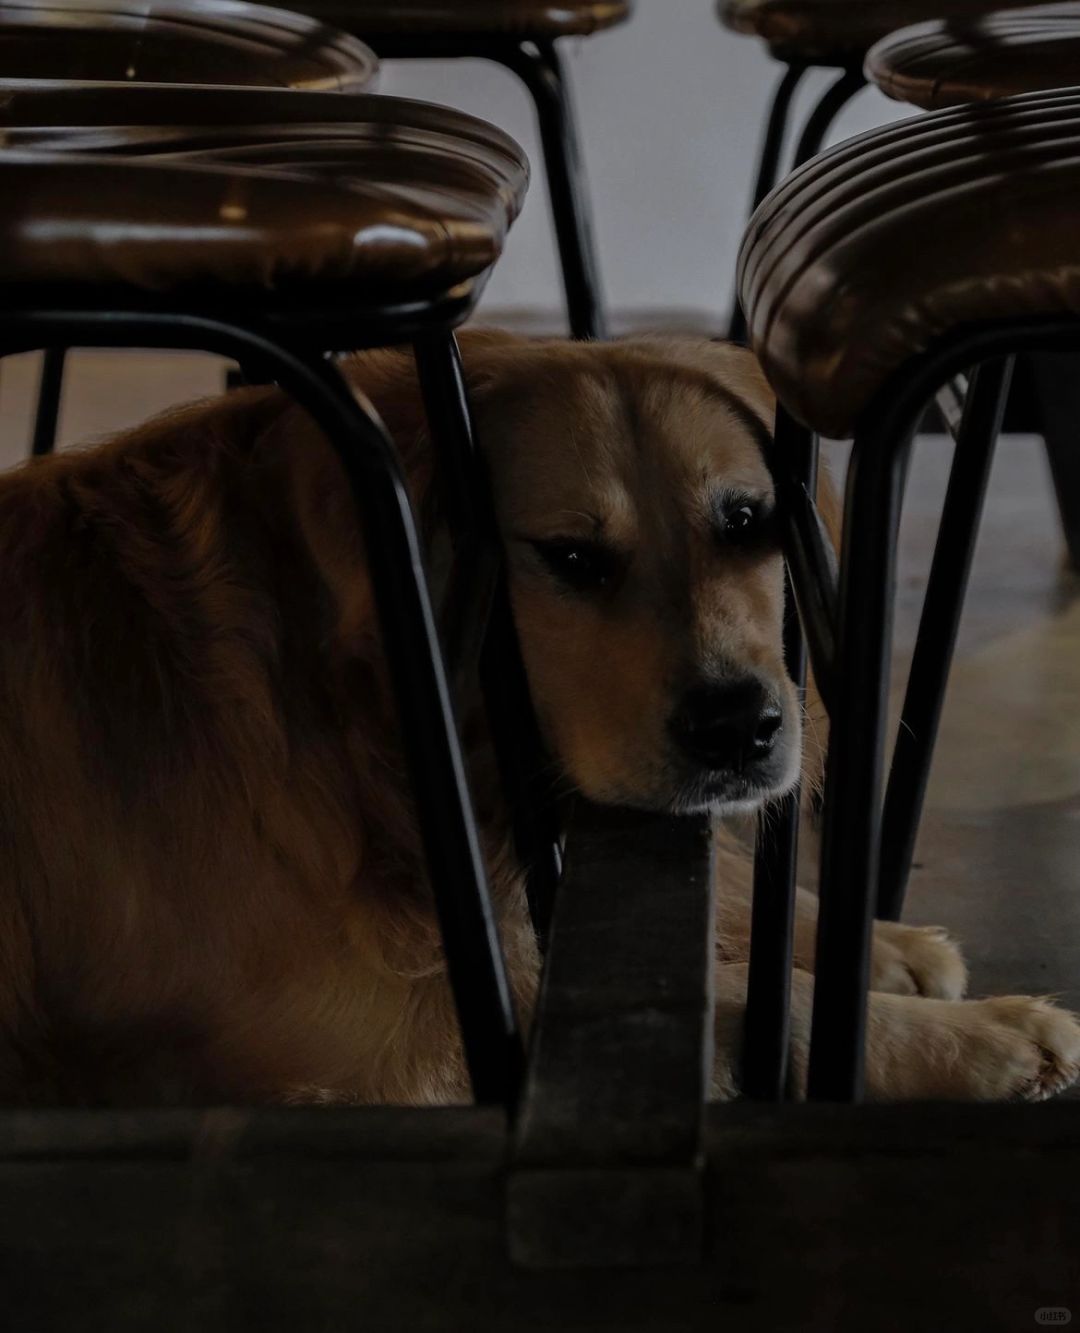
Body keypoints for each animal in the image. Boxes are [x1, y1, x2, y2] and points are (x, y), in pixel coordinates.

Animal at [0, 330, 1072, 1103]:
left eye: (746, 521)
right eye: (570, 558)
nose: (741, 728)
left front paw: (883, 949)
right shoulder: (362, 1042)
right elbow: (737, 999)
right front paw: (992, 1038)